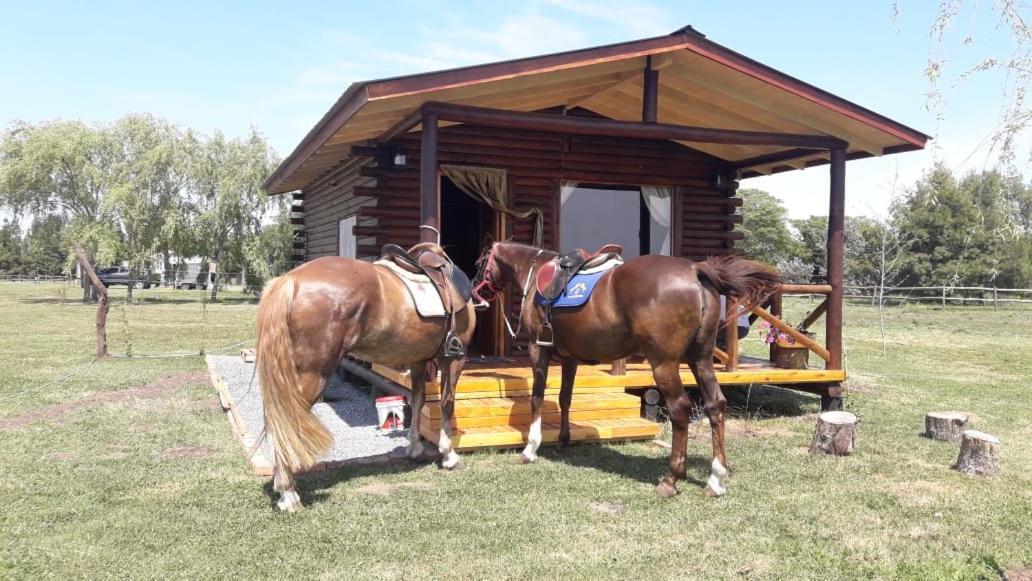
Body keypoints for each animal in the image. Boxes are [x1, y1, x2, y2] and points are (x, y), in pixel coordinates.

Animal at [255, 243, 472, 511]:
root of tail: (289, 281)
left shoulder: (418, 361)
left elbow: (418, 400)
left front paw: (414, 447)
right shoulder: (453, 360)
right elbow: (447, 404)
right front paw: (449, 455)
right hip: (310, 377)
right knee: (288, 422)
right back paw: (289, 494)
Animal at [472, 243, 776, 497]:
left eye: (480, 262)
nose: (476, 290)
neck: (536, 275)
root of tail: (694, 270)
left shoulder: (538, 350)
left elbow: (537, 398)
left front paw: (530, 448)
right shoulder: (570, 359)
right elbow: (565, 399)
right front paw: (563, 441)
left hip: (664, 363)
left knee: (680, 409)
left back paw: (671, 479)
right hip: (700, 359)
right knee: (716, 405)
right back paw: (715, 477)